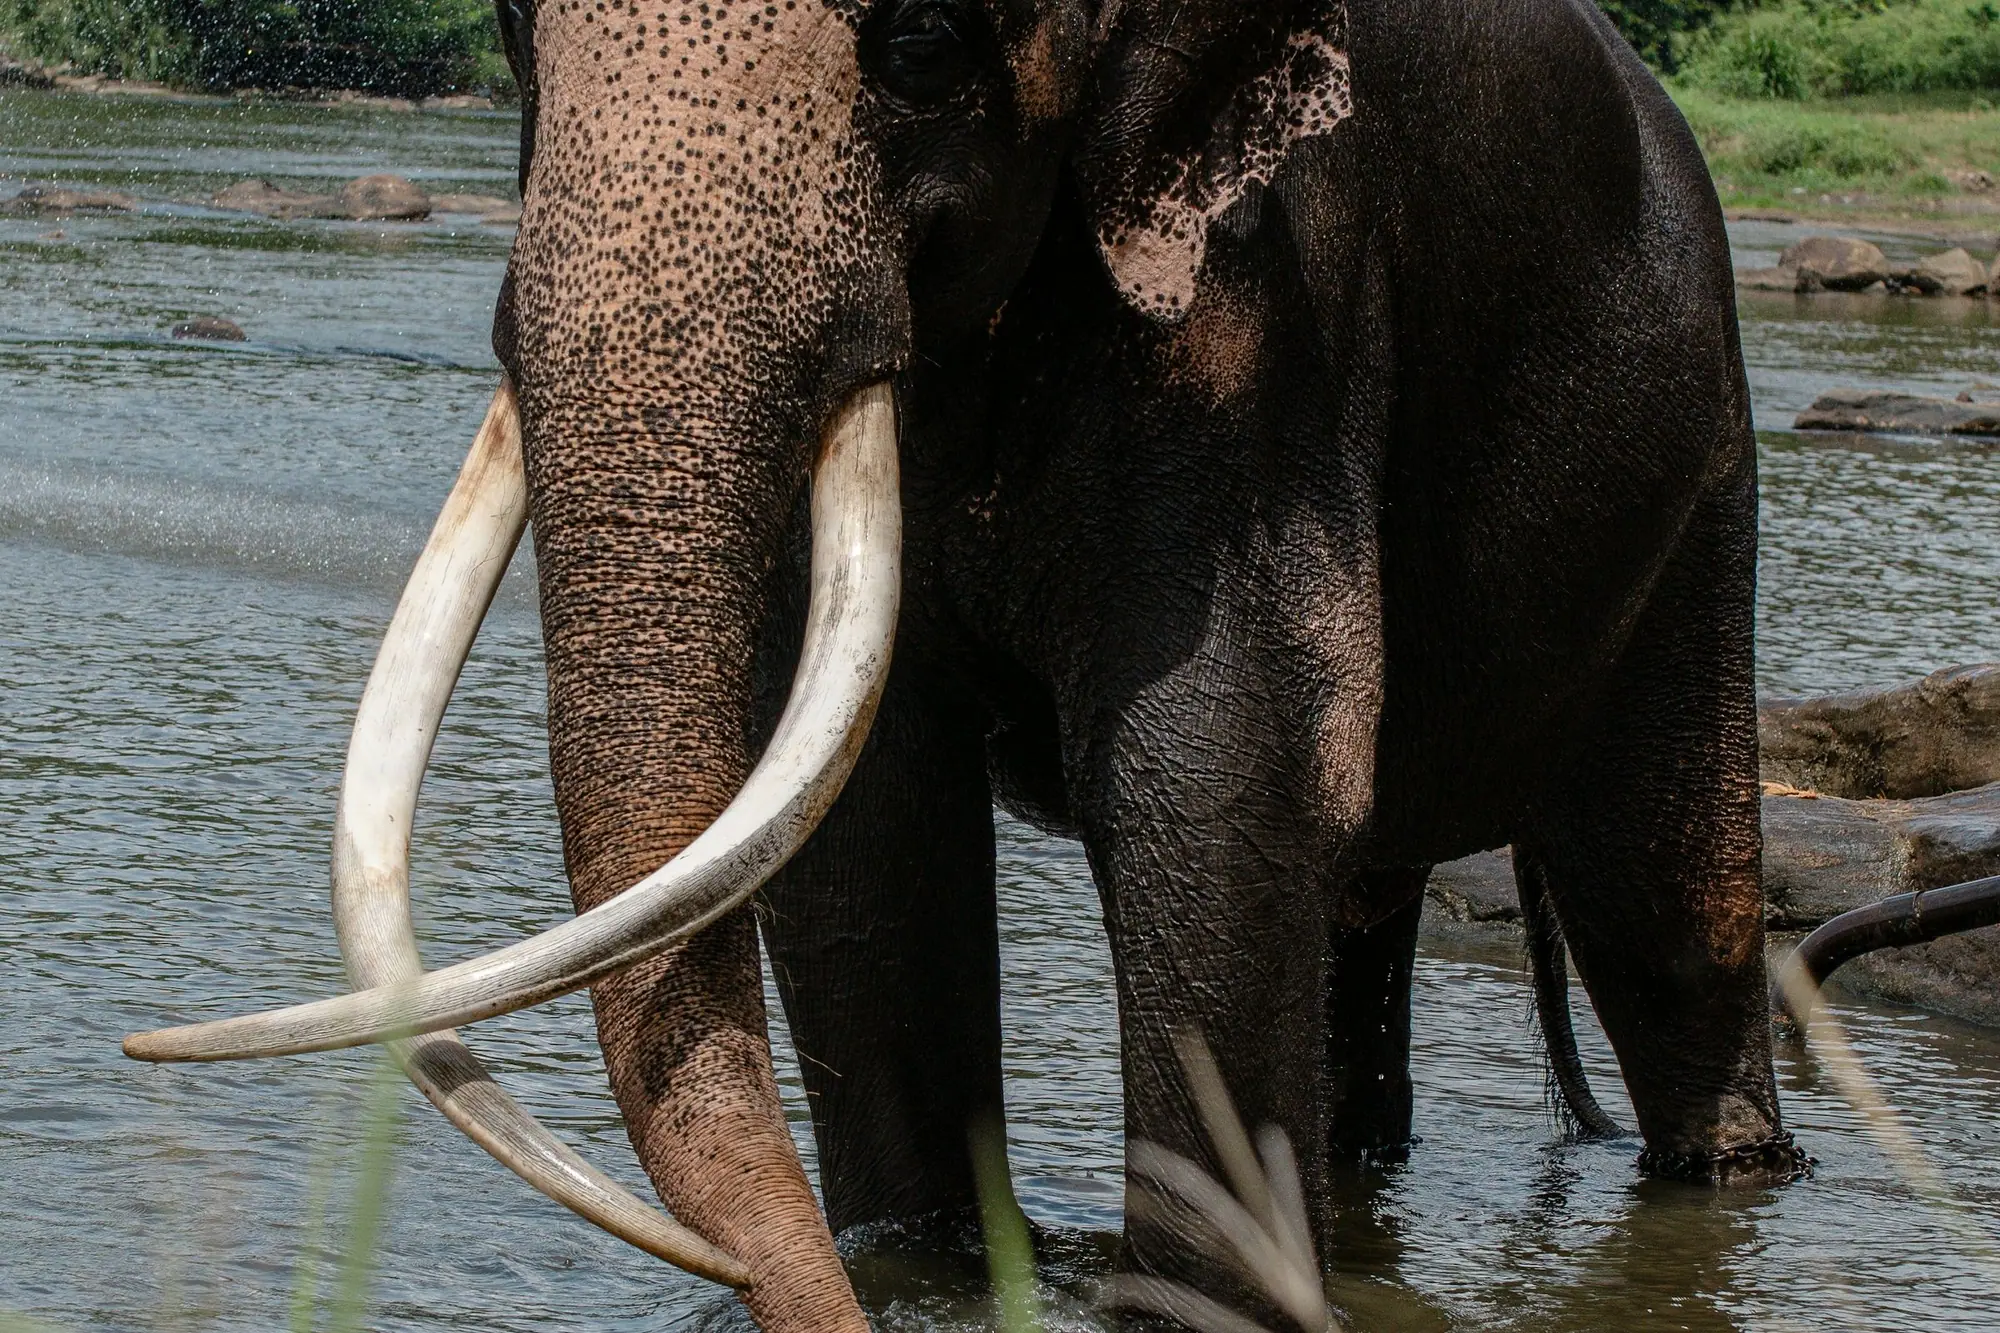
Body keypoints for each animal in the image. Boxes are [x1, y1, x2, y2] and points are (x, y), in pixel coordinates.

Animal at [126, 0, 1814, 1327]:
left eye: (923, 44)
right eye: (517, 33)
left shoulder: (1273, 301)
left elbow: (1218, 771)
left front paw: (1197, 1299)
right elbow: (862, 817)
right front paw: (918, 1269)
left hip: (1703, 466)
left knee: (1664, 900)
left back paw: (1729, 1171)